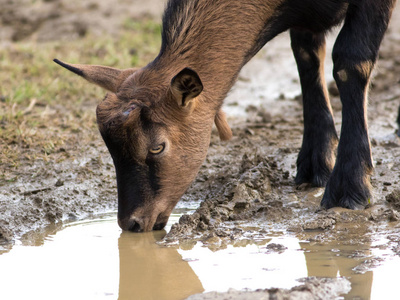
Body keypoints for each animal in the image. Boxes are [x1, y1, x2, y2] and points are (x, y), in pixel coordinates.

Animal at [54, 0, 396, 232]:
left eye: (157, 146)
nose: (133, 223)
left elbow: (350, 61)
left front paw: (349, 188)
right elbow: (306, 54)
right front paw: (314, 166)